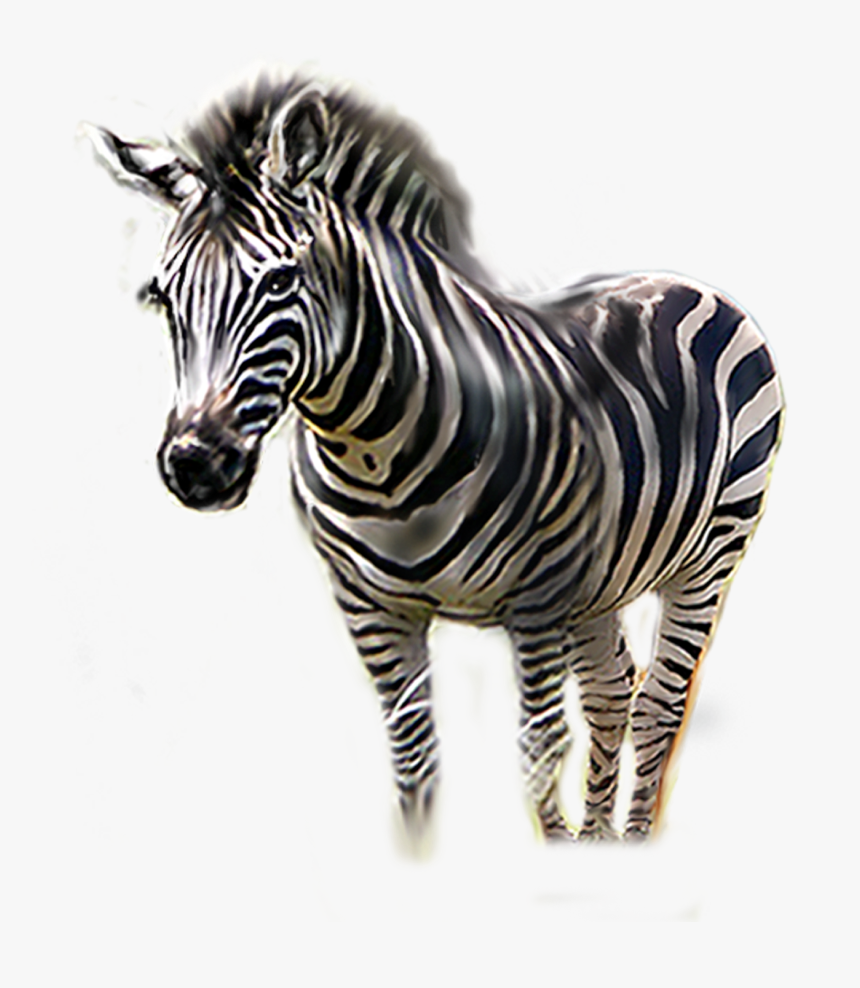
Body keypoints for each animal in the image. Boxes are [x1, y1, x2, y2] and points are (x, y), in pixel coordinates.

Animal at [87, 75, 783, 842]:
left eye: (278, 283)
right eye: (162, 296)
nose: (195, 464)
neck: (371, 452)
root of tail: (679, 281)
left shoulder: (535, 601)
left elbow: (539, 752)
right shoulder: (369, 608)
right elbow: (415, 764)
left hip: (712, 552)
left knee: (659, 705)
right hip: (600, 575)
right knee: (610, 693)